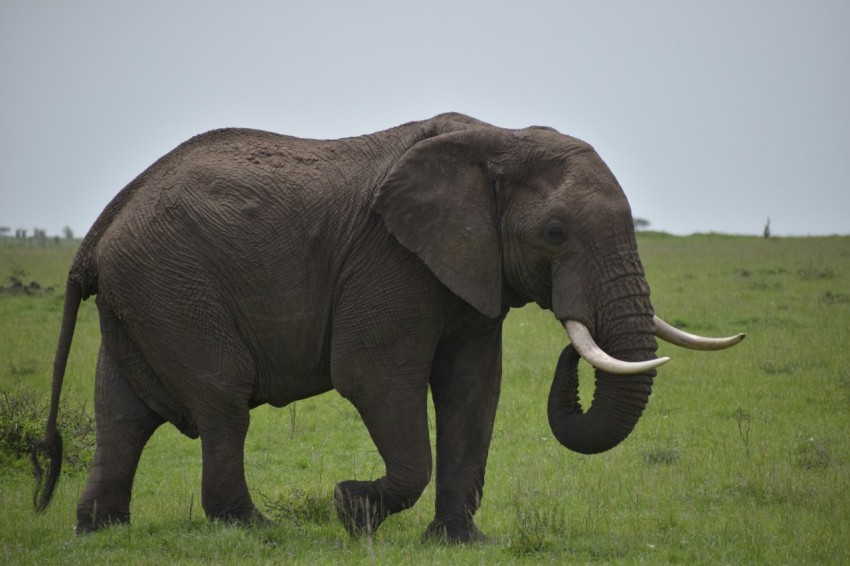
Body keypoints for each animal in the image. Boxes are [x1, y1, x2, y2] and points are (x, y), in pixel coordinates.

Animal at [31, 112, 743, 543]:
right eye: (554, 233)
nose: (573, 350)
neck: (498, 138)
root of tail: (103, 226)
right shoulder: (390, 261)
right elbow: (374, 376)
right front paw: (351, 509)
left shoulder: (467, 269)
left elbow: (472, 390)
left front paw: (459, 542)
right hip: (173, 287)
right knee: (222, 399)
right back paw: (255, 530)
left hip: (143, 295)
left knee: (123, 413)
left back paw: (101, 531)